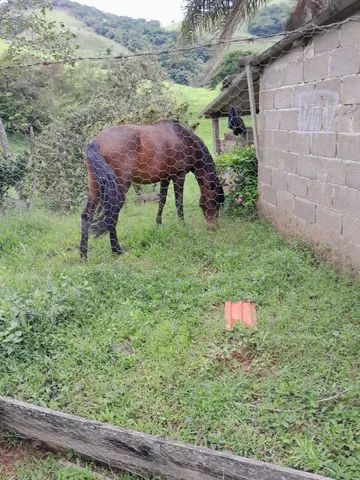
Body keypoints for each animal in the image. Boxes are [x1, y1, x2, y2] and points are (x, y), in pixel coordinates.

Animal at [80, 120, 224, 258]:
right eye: (214, 202)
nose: (213, 227)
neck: (184, 139)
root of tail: (95, 142)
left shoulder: (165, 178)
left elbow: (162, 201)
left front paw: (158, 224)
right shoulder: (179, 176)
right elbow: (178, 203)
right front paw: (182, 225)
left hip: (95, 187)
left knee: (87, 215)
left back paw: (83, 254)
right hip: (119, 188)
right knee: (112, 214)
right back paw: (117, 250)